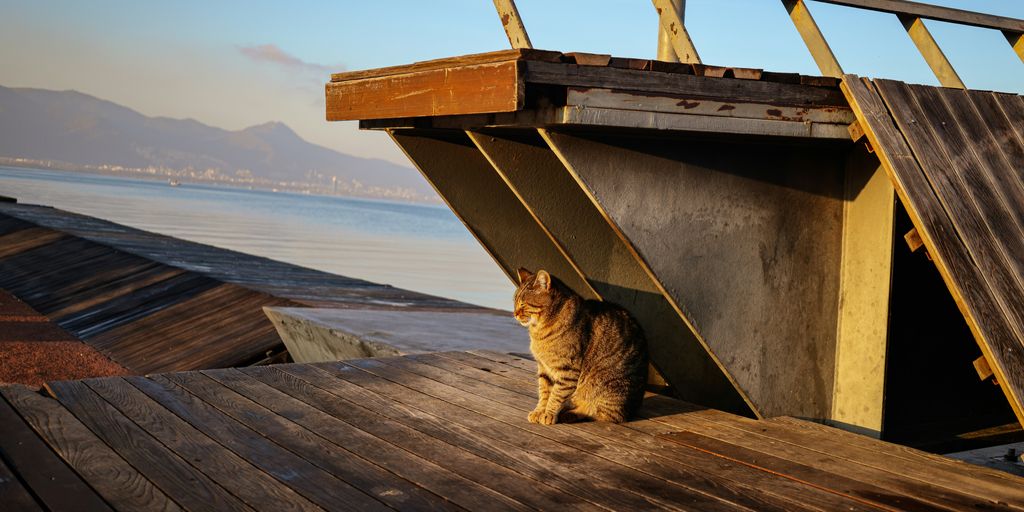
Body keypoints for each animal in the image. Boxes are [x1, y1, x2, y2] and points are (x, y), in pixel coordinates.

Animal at [512, 268, 647, 423]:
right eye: (515, 302)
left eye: (523, 304)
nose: (514, 313)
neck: (539, 330)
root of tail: (634, 408)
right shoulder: (544, 367)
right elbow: (544, 392)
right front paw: (539, 411)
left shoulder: (568, 370)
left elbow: (556, 395)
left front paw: (548, 414)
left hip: (607, 386)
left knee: (604, 414)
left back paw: (571, 413)